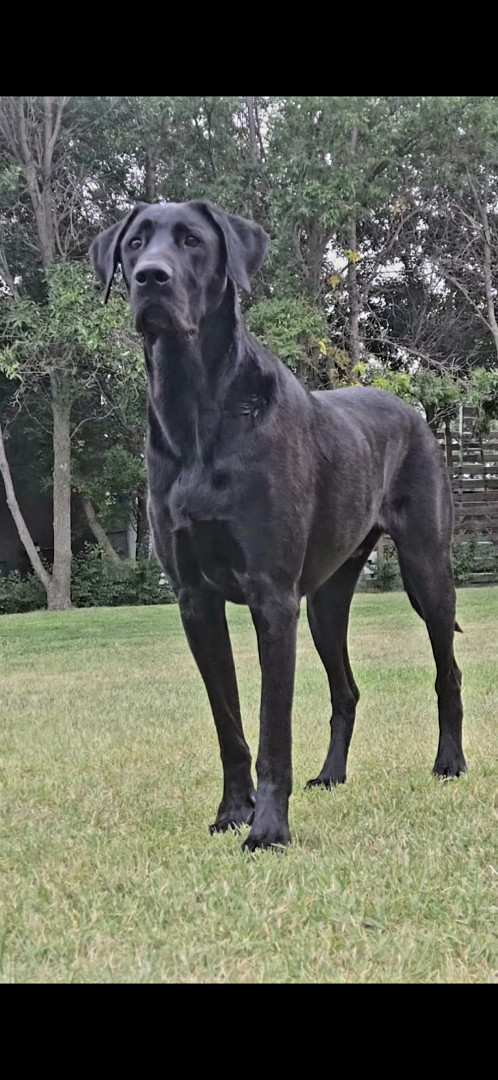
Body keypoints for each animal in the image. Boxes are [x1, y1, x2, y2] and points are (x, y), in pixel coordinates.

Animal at [90, 200, 466, 851]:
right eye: (135, 243)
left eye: (192, 241)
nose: (150, 278)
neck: (197, 407)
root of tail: (411, 410)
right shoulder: (196, 600)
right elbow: (230, 724)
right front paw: (231, 812)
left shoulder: (272, 597)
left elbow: (272, 727)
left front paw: (267, 829)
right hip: (325, 602)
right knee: (346, 688)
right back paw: (331, 775)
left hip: (425, 569)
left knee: (449, 671)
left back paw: (450, 762)